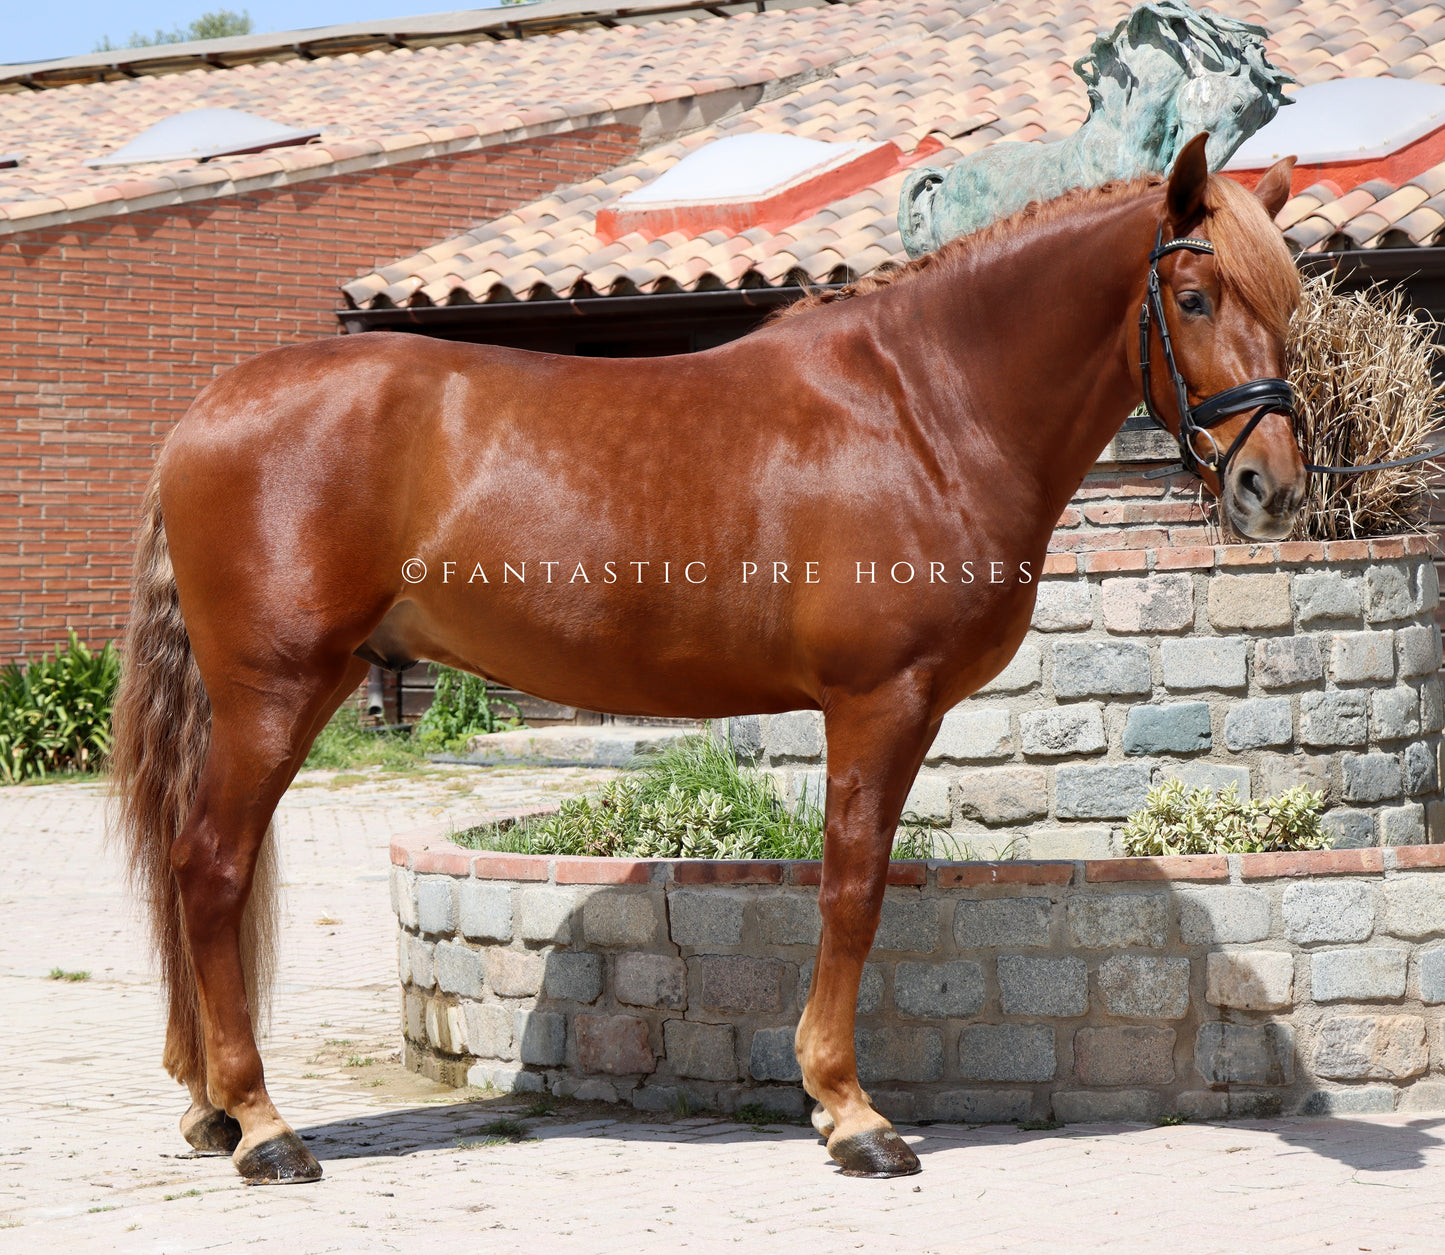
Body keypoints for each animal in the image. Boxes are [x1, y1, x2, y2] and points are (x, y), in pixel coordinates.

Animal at [110, 134, 1303, 1184]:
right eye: (1193, 298)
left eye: (1289, 303)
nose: (1272, 488)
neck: (923, 407)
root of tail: (204, 415)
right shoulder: (878, 700)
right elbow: (852, 888)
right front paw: (850, 1113)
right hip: (279, 692)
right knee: (209, 869)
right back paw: (264, 1126)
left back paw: (213, 1109)